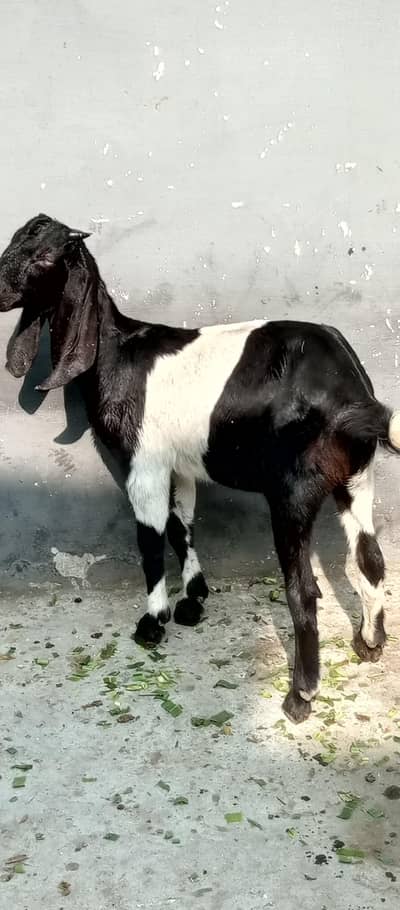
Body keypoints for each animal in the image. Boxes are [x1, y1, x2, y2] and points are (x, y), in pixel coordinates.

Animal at [0, 214, 399, 723]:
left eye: (44, 256)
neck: (118, 351)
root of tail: (351, 392)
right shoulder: (181, 464)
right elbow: (181, 525)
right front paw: (194, 598)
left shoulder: (144, 462)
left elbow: (150, 540)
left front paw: (153, 623)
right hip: (356, 475)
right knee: (370, 558)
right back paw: (370, 643)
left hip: (294, 490)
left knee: (304, 588)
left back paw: (301, 696)